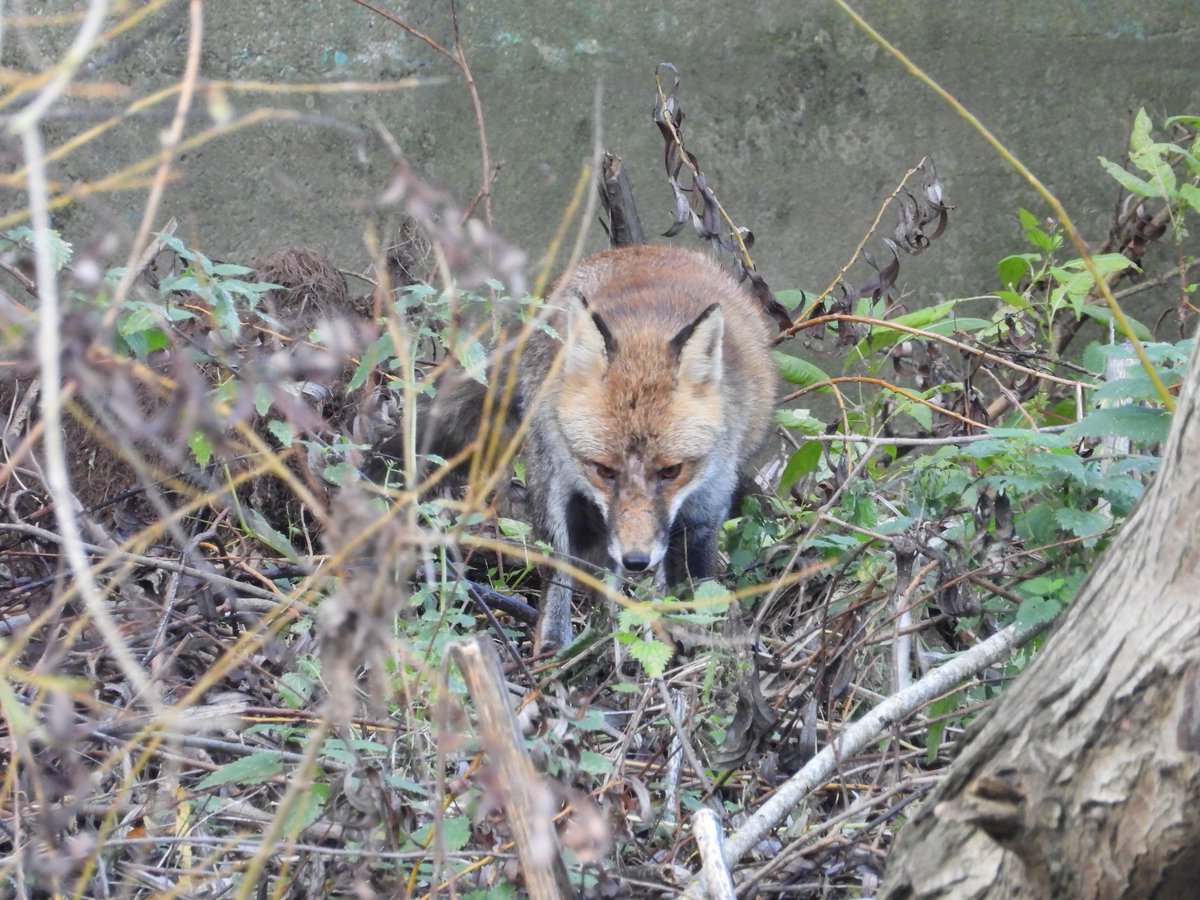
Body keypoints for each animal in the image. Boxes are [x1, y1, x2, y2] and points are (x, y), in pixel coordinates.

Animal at [425, 245, 779, 651]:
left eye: (671, 471)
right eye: (604, 470)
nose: (637, 560)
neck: (647, 328)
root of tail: (638, 249)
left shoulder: (709, 500)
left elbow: (698, 587)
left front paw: (702, 643)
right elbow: (566, 569)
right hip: (552, 478)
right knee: (570, 567)